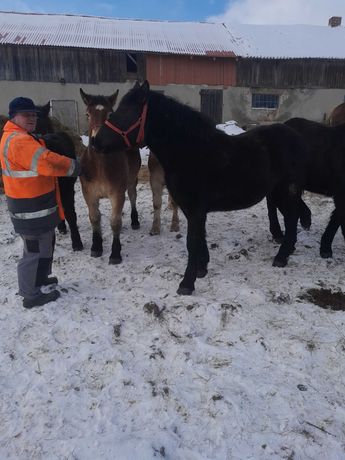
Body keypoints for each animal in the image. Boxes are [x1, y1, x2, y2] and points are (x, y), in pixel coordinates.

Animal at [79, 88, 141, 264]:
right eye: (87, 114)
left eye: (110, 114)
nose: (97, 141)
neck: (100, 167)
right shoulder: (89, 194)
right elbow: (94, 217)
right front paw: (96, 246)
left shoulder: (117, 193)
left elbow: (115, 222)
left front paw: (115, 253)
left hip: (131, 181)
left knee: (132, 196)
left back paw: (134, 220)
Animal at [92, 80, 306, 294]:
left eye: (127, 112)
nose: (95, 142)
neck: (190, 151)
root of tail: (296, 136)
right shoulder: (192, 210)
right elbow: (200, 238)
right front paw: (202, 269)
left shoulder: (195, 209)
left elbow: (192, 242)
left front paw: (187, 283)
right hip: (277, 192)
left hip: (286, 191)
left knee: (292, 218)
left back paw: (281, 257)